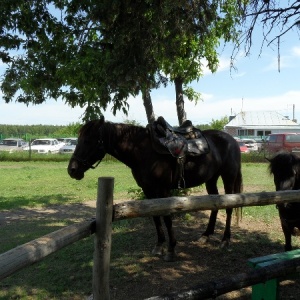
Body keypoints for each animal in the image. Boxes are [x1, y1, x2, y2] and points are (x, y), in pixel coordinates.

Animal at [67, 116, 243, 262]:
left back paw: (225, 240)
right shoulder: (148, 190)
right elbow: (156, 216)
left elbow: (167, 216)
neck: (142, 150)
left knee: (229, 206)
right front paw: (160, 245)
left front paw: (171, 249)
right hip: (211, 179)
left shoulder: (164, 190)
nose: (72, 170)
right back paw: (206, 235)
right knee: (215, 204)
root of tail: (232, 141)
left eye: (89, 140)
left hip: (228, 177)